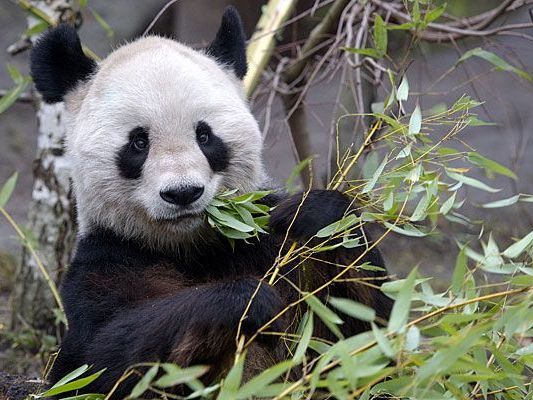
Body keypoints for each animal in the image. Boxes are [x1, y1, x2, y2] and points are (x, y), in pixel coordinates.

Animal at [32, 6, 390, 396]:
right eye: (138, 143)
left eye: (204, 136)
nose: (182, 193)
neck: (194, 246)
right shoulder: (107, 259)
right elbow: (98, 359)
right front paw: (245, 301)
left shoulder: (265, 242)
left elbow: (362, 341)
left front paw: (316, 214)